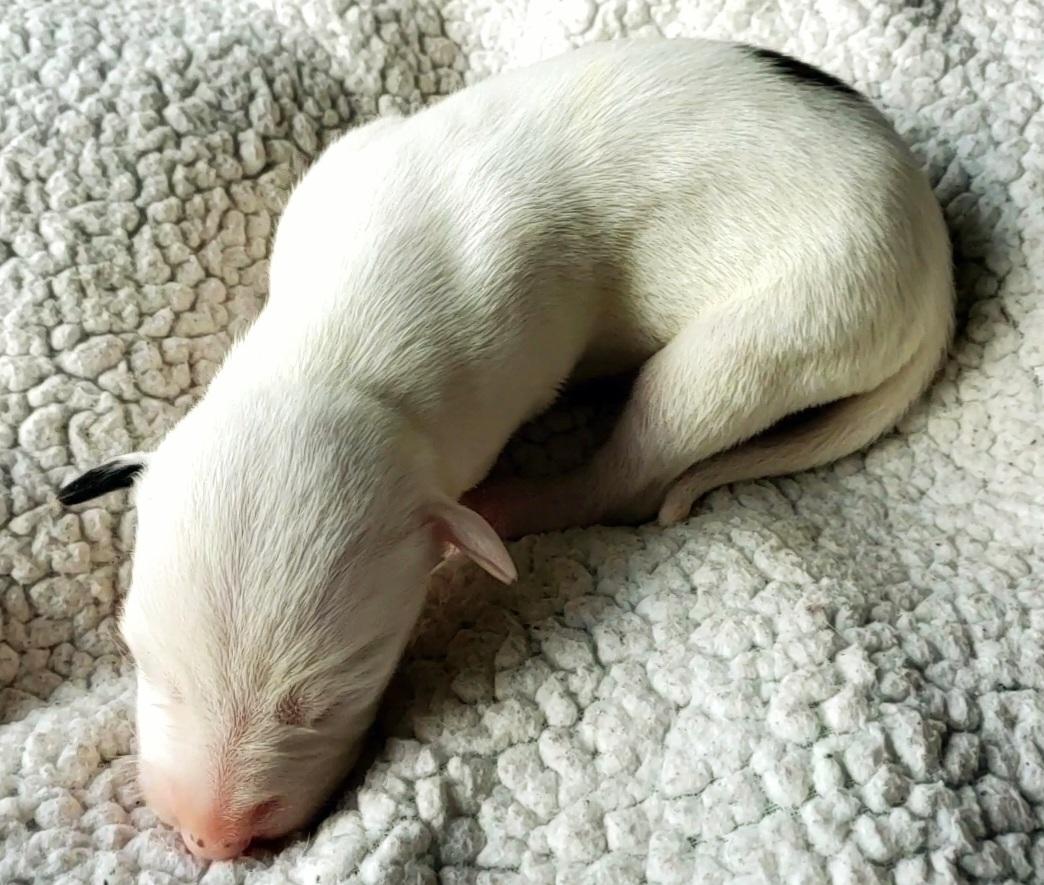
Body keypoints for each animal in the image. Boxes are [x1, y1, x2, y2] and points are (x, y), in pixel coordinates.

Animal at [57, 38, 953, 860]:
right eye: (146, 660)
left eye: (337, 692)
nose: (211, 838)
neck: (331, 361)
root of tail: (934, 256)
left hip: (785, 322)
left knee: (640, 460)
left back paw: (522, 501)